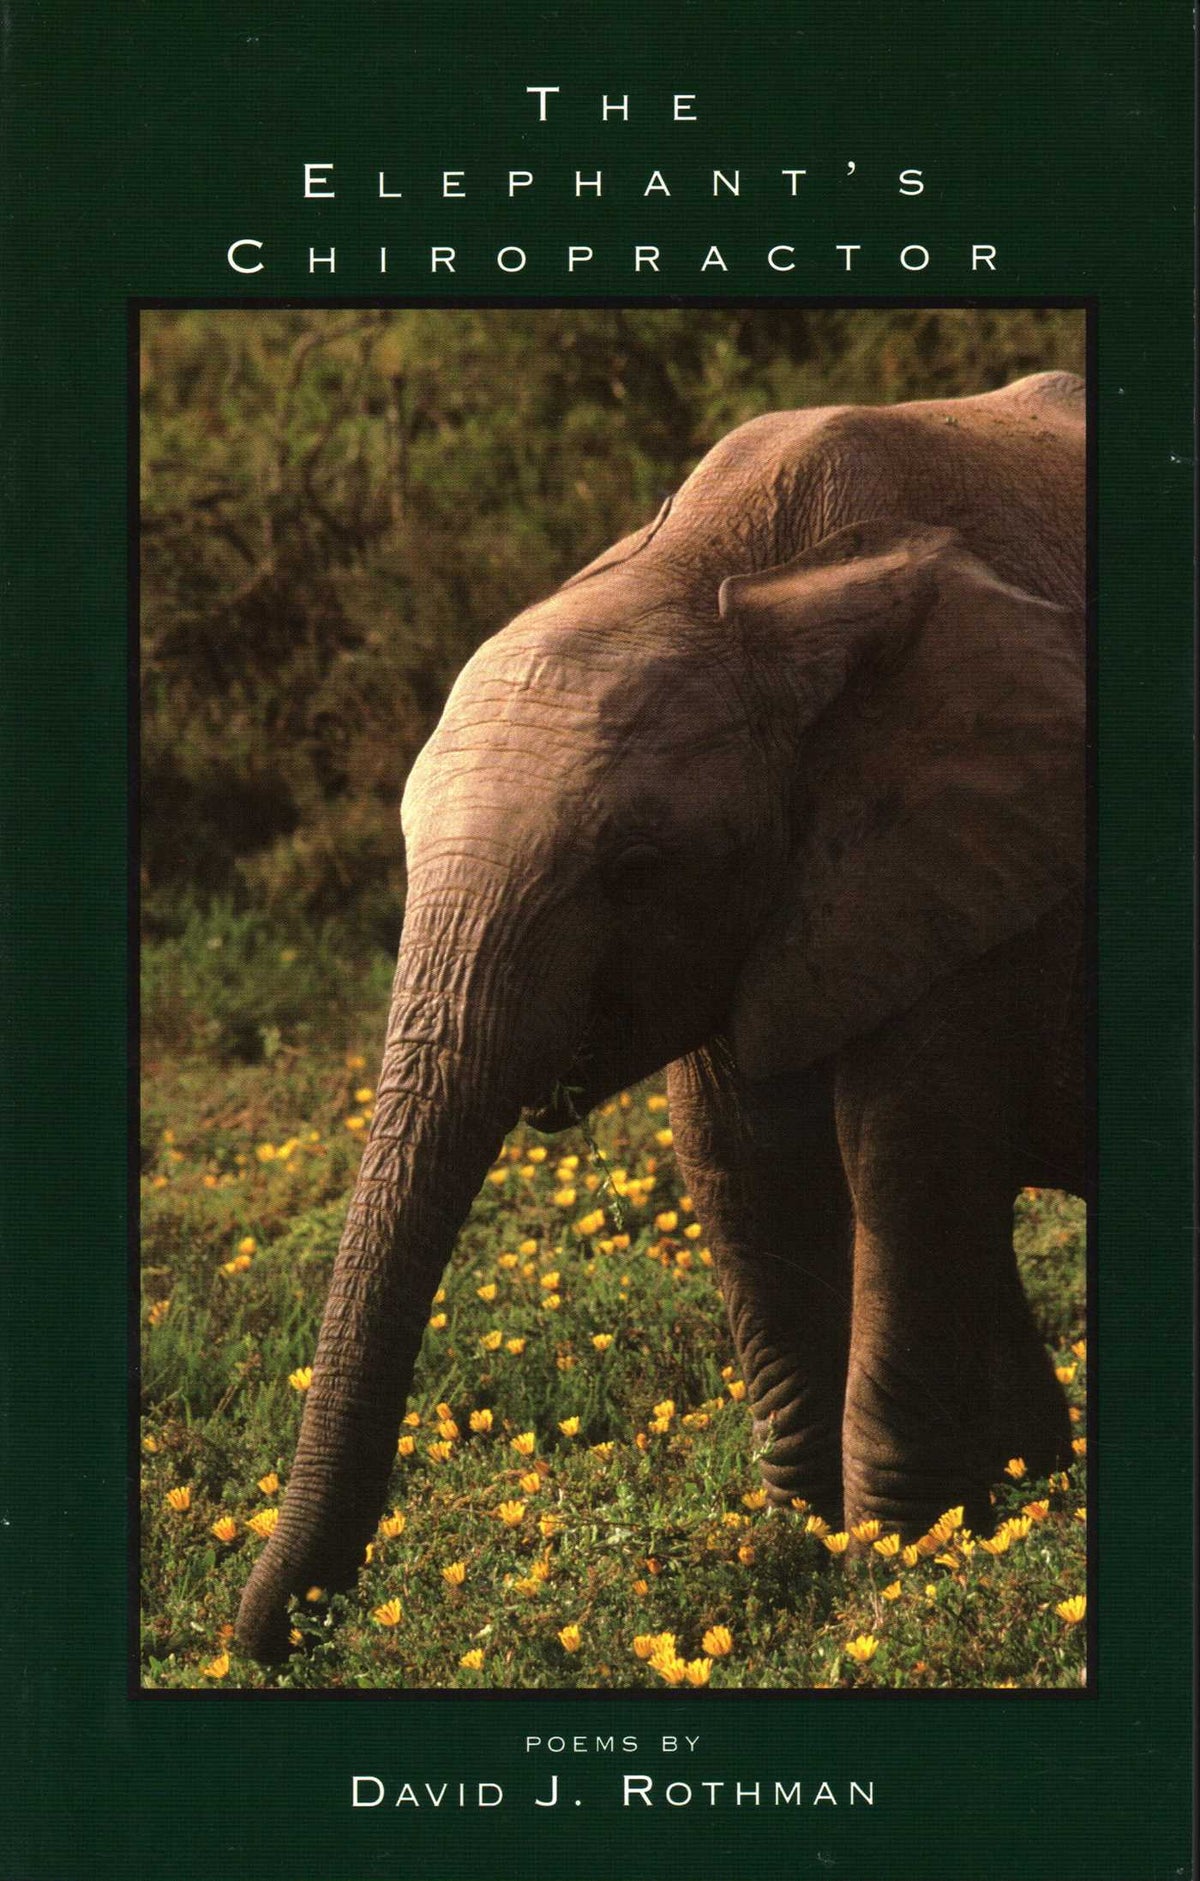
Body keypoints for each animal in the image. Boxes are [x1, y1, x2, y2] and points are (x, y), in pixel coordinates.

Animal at [236, 370, 1086, 1663]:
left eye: (635, 868)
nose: (279, 1640)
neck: (728, 576)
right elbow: (742, 1167)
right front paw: (806, 1554)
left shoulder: (967, 848)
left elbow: (906, 1162)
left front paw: (899, 1571)